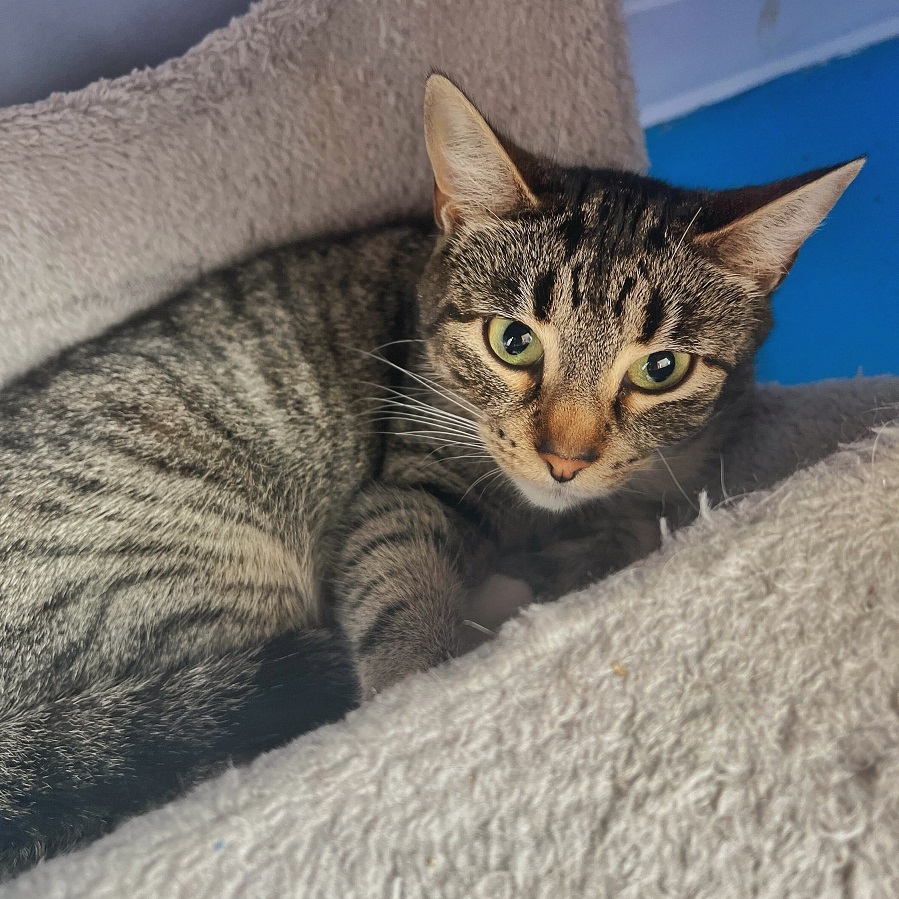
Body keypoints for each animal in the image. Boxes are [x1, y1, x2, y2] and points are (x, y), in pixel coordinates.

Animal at [0, 73, 861, 877]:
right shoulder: (409, 478)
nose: (564, 458)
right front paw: (421, 686)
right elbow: (400, 582)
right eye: (512, 340)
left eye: (661, 368)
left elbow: (627, 524)